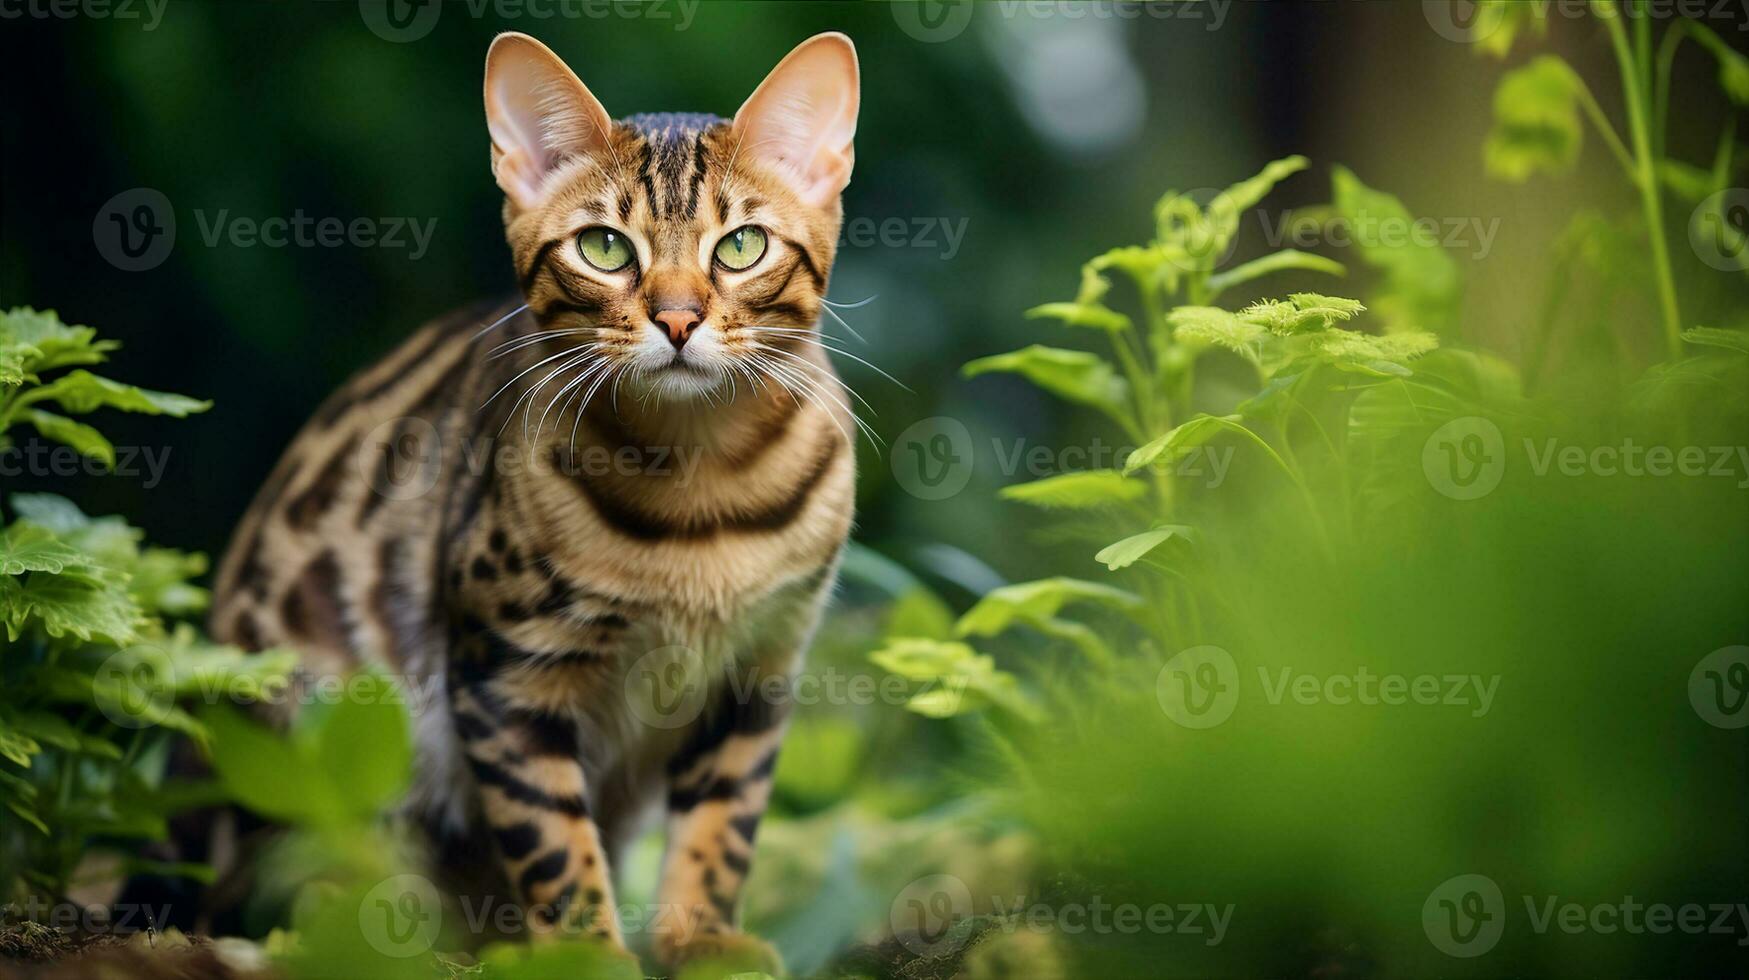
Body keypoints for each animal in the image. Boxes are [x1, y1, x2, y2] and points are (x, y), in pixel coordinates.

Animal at [204, 30, 860, 973]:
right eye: (604, 248)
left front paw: (702, 939)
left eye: (740, 247)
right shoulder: (504, 670)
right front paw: (585, 952)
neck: (702, 485)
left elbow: (723, 822)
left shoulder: (761, 667)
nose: (677, 320)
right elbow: (552, 840)